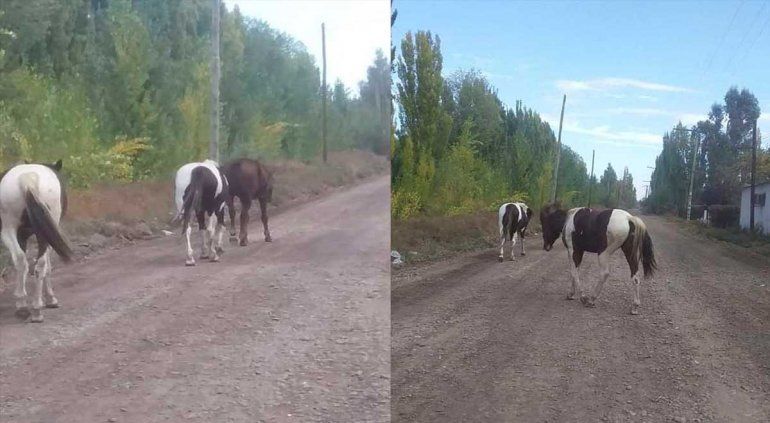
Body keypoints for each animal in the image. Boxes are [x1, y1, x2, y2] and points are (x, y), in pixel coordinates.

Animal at [0, 160, 73, 322]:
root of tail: (28, 179)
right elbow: (48, 267)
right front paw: (51, 300)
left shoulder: (22, 236)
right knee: (40, 265)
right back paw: (36, 309)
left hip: (9, 229)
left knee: (20, 260)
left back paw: (23, 307)